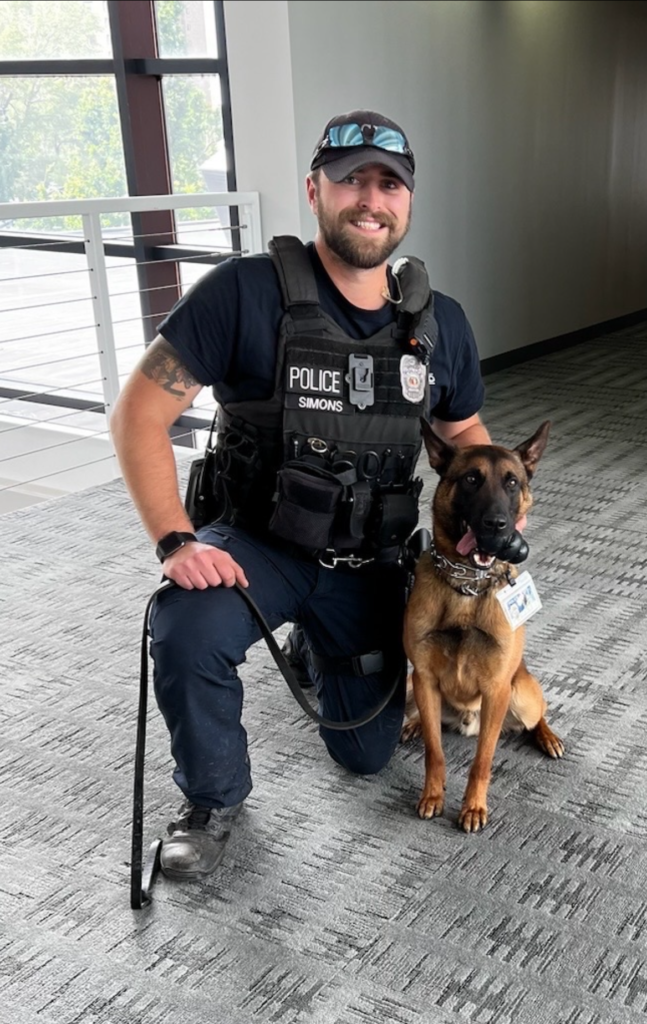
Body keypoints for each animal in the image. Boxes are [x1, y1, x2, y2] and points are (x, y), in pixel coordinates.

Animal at [405, 423, 561, 831]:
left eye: (512, 482)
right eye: (471, 479)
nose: (496, 526)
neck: (467, 584)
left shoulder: (496, 690)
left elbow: (483, 759)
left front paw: (473, 806)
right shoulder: (424, 678)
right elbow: (435, 750)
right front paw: (433, 795)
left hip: (521, 695)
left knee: (538, 716)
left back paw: (548, 737)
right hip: (414, 688)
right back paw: (411, 723)